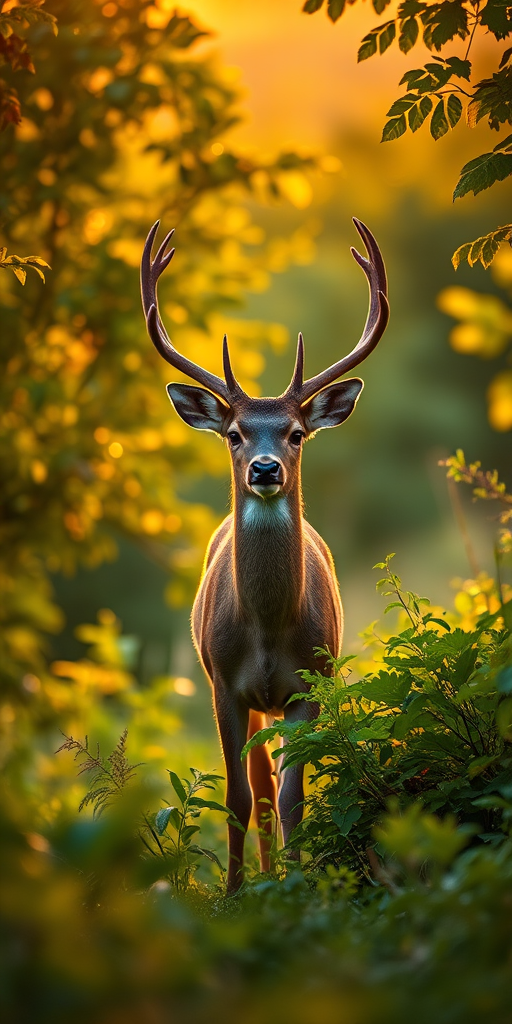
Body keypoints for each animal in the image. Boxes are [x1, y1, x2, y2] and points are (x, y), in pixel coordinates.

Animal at [141, 217, 389, 892]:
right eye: (234, 433)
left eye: (296, 432)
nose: (265, 467)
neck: (269, 630)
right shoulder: (222, 683)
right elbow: (235, 798)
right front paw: (233, 894)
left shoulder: (308, 687)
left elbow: (293, 799)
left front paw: (298, 890)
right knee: (256, 786)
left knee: (274, 786)